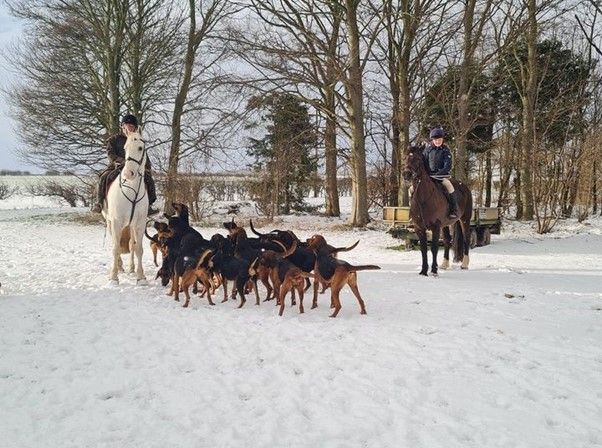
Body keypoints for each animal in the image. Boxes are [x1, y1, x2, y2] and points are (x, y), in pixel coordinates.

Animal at [102, 128, 149, 286]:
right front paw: (113, 277)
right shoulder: (116, 222)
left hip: (131, 226)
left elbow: (138, 248)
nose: (129, 173)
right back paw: (120, 267)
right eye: (125, 148)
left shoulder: (140, 223)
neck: (132, 191)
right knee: (114, 243)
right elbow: (116, 248)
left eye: (140, 148)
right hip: (110, 222)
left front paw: (141, 277)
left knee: (131, 244)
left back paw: (132, 268)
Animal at [400, 145, 472, 274]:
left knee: (466, 238)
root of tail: (464, 186)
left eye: (417, 159)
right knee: (448, 240)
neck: (423, 198)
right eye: (404, 158)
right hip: (445, 224)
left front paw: (433, 271)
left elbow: (434, 248)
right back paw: (444, 264)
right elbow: (424, 249)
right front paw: (424, 271)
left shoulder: (435, 227)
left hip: (465, 219)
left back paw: (464, 264)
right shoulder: (419, 228)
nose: (406, 174)